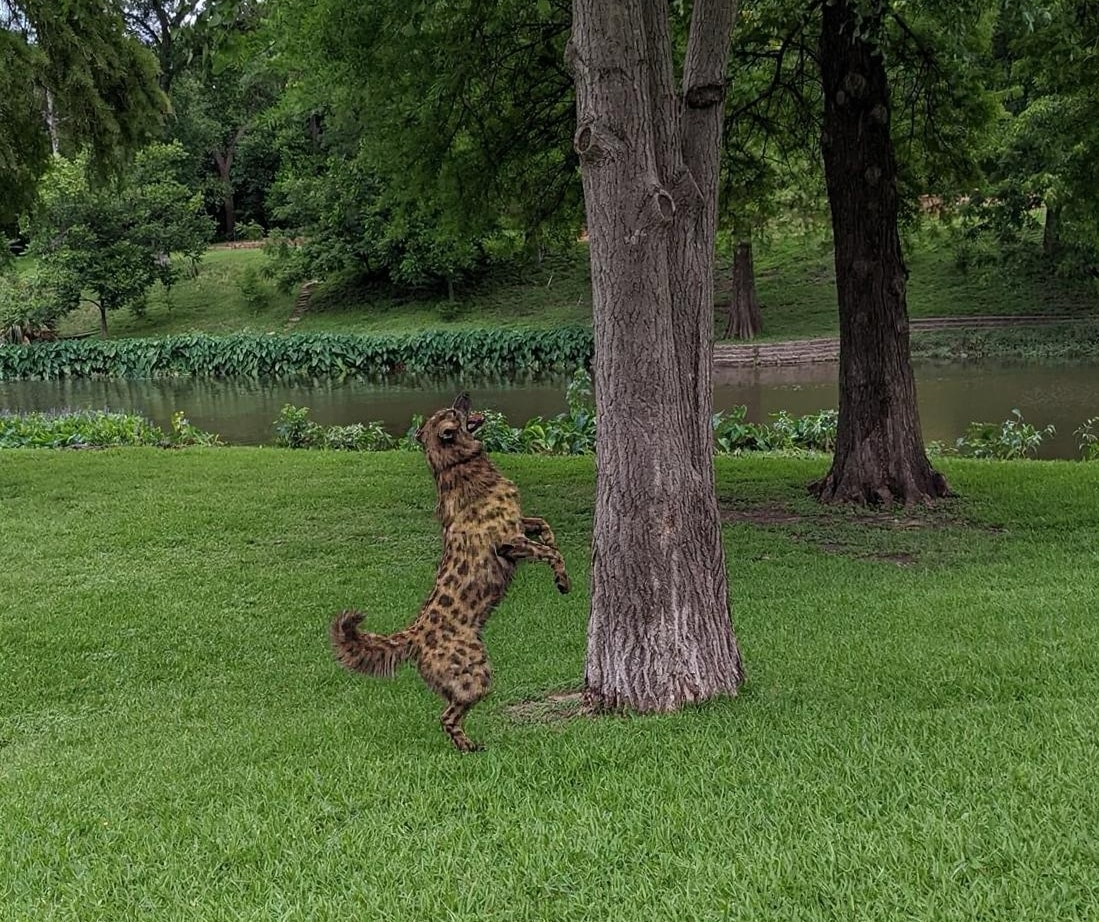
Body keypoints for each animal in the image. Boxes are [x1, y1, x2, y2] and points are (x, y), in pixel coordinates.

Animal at [330, 393, 571, 752]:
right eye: (454, 411)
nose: (464, 394)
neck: (455, 466)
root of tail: (414, 635)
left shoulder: (520, 524)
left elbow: (544, 526)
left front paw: (552, 543)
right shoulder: (508, 542)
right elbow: (550, 552)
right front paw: (562, 579)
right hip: (477, 674)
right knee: (447, 716)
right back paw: (470, 748)